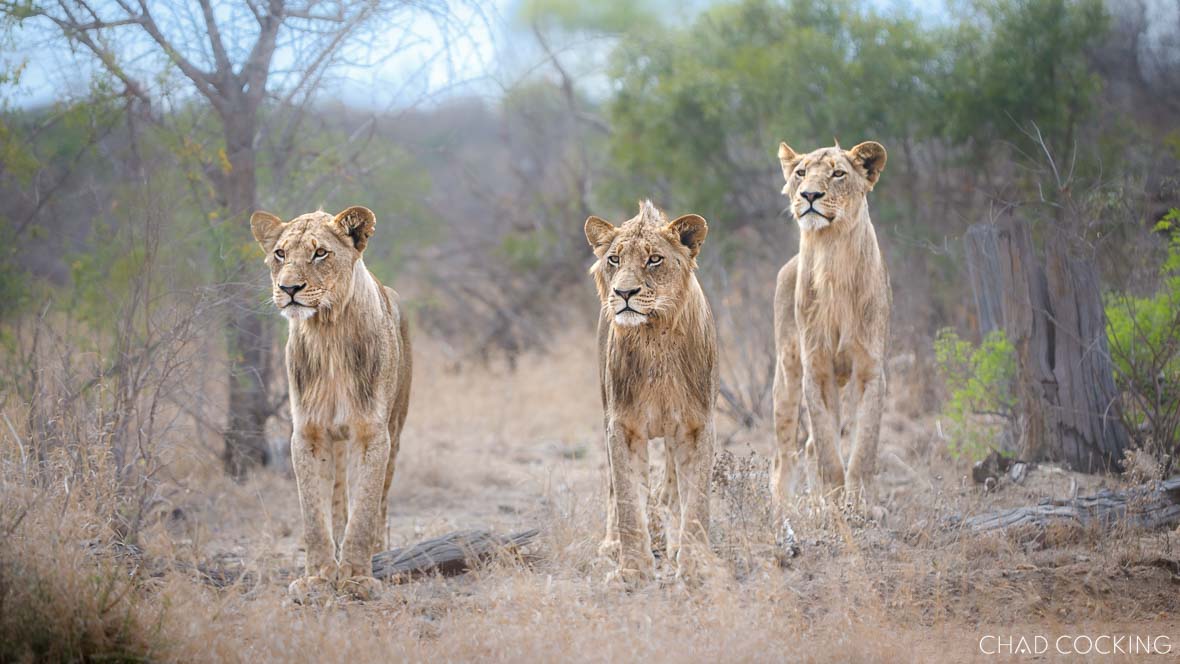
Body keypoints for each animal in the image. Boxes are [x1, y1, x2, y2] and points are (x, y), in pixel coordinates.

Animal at [250, 206, 412, 602]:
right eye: (280, 253)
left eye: (320, 253)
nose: (288, 289)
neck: (328, 334)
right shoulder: (308, 434)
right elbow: (314, 513)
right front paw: (319, 577)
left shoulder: (373, 434)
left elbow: (365, 508)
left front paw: (356, 577)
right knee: (337, 500)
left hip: (397, 427)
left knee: (381, 500)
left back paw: (380, 553)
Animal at [584, 200, 719, 586]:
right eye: (614, 259)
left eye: (654, 259)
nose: (623, 294)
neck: (653, 338)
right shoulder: (622, 428)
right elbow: (629, 500)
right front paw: (632, 569)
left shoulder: (697, 426)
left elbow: (696, 500)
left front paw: (694, 566)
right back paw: (616, 545)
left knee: (668, 489)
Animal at [771, 141, 890, 509]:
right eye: (800, 173)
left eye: (838, 173)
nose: (810, 195)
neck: (832, 252)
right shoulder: (818, 370)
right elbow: (827, 451)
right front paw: (834, 506)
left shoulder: (870, 370)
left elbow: (864, 448)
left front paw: (862, 505)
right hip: (787, 372)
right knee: (785, 454)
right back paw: (784, 510)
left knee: (808, 446)